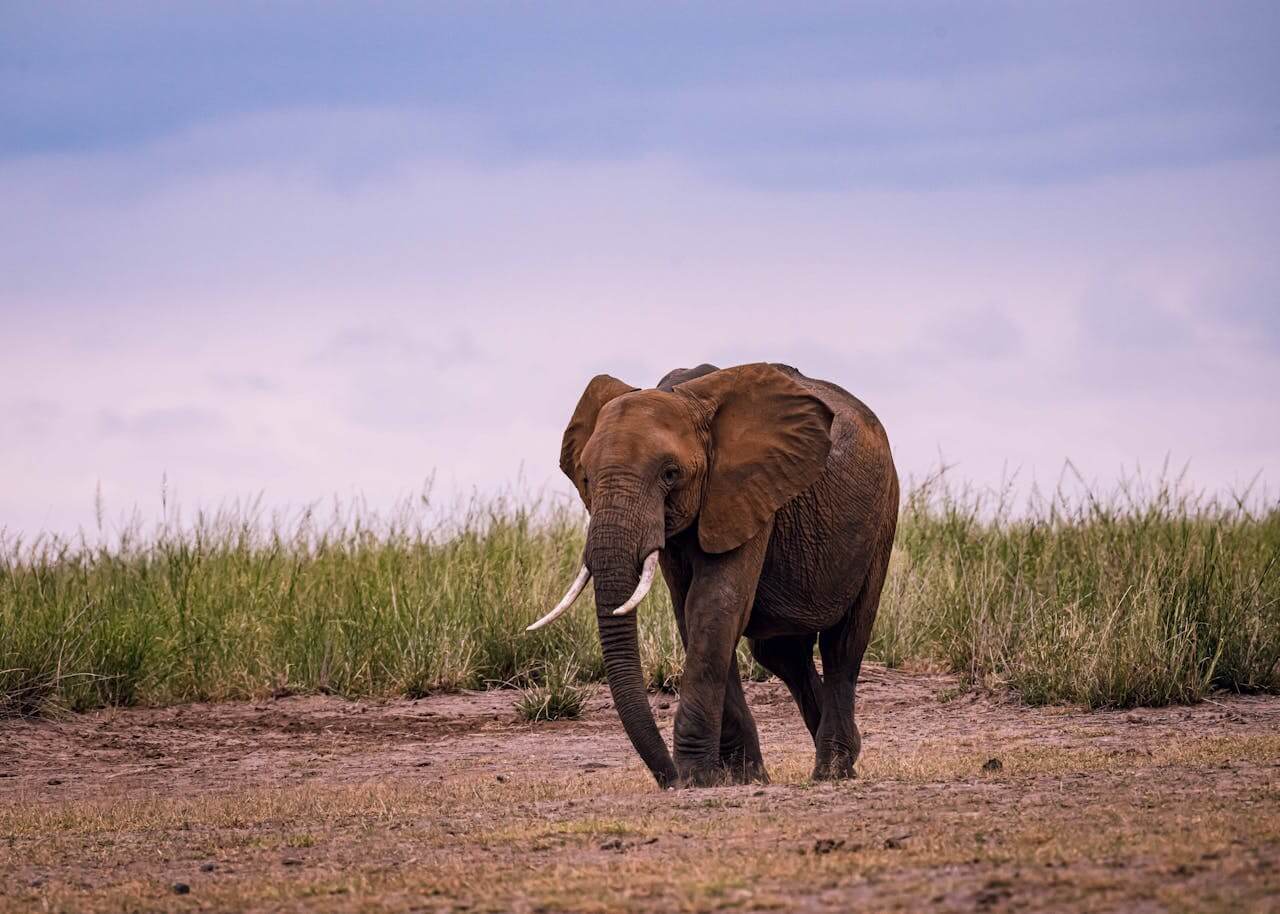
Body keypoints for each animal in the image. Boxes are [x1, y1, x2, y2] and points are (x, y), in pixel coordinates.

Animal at [528, 362, 899, 788]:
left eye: (670, 474)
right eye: (586, 478)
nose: (669, 781)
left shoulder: (746, 489)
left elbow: (715, 607)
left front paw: (696, 777)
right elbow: (692, 614)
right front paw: (742, 777)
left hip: (883, 513)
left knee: (843, 644)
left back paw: (832, 770)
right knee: (782, 655)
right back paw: (849, 754)